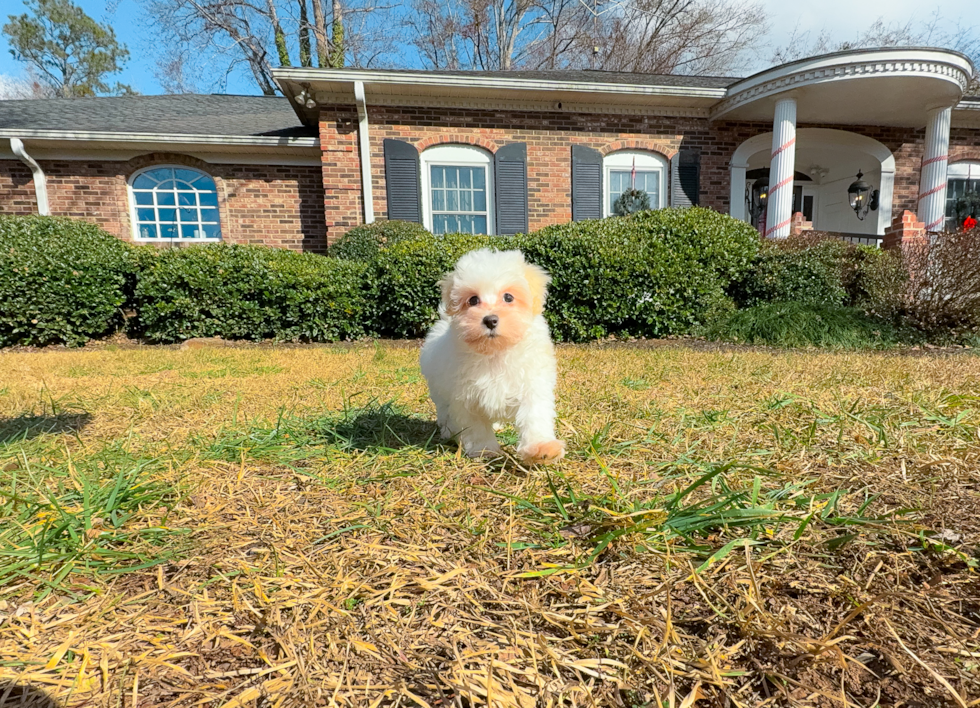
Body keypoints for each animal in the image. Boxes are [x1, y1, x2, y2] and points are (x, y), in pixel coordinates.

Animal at [418, 249, 564, 464]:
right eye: (473, 300)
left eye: (509, 297)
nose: (490, 320)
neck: (495, 352)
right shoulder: (466, 396)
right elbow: (476, 427)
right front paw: (484, 450)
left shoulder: (532, 385)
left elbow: (534, 416)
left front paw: (541, 448)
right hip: (439, 389)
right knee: (445, 410)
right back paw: (449, 431)